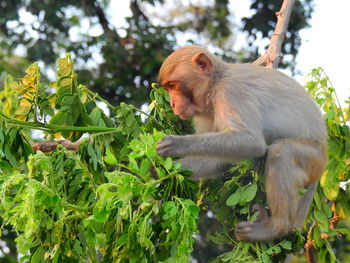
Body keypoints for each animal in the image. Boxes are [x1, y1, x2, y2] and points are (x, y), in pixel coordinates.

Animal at [154, 46, 326, 243]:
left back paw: (277, 226)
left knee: (282, 152)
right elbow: (221, 159)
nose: (173, 103)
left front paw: (175, 144)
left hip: (313, 157)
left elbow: (252, 142)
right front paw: (166, 171)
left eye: (173, 86)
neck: (215, 83)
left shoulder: (230, 92)